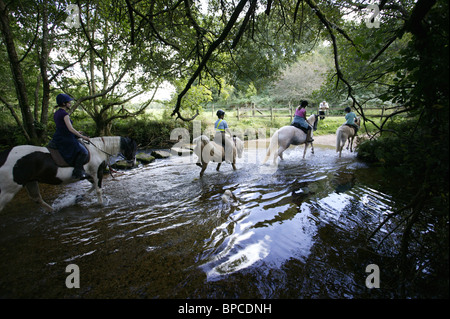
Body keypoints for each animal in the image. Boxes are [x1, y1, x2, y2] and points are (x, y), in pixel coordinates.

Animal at [0, 137, 137, 214]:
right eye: (133, 147)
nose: (133, 162)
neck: (98, 149)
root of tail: (3, 157)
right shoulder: (96, 173)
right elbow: (98, 190)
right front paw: (100, 204)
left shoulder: (89, 175)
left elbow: (93, 188)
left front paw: (78, 198)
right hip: (9, 190)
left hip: (30, 181)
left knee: (37, 199)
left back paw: (53, 211)